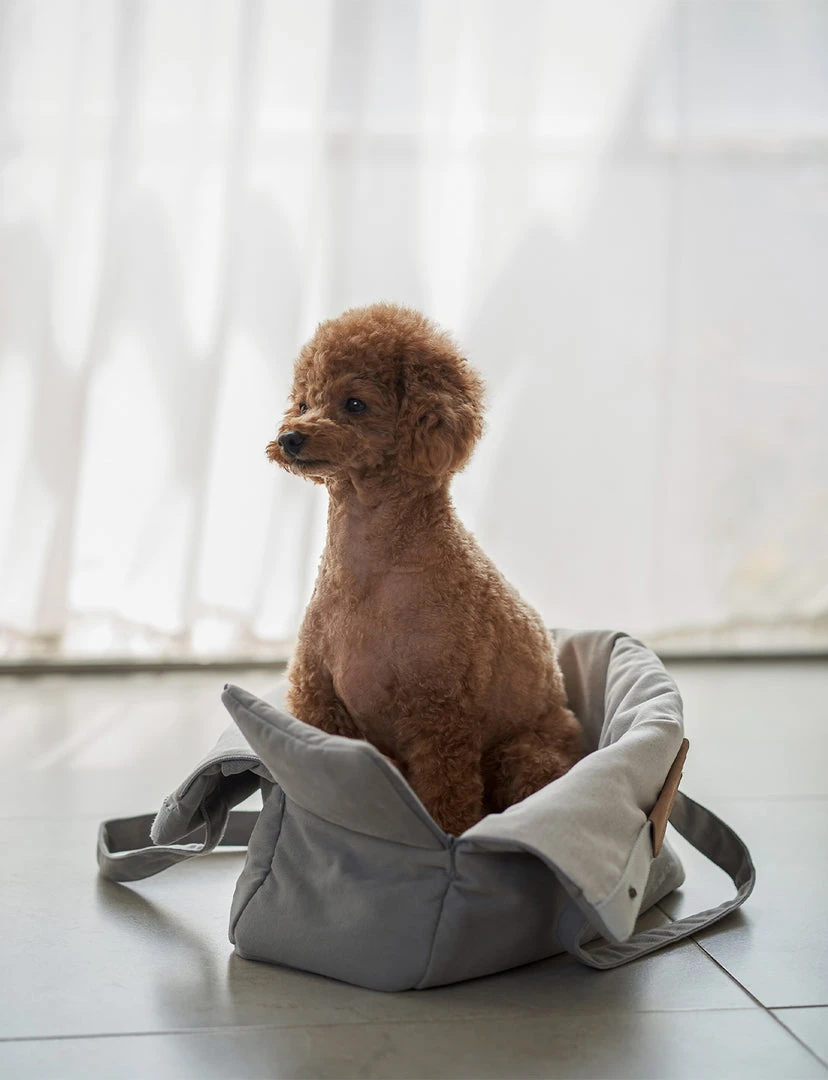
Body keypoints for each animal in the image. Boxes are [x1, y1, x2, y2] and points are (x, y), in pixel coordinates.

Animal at [266, 303, 583, 835]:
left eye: (355, 403)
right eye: (305, 402)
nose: (290, 436)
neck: (370, 574)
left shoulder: (440, 713)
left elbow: (446, 799)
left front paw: (448, 837)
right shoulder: (320, 699)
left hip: (525, 754)